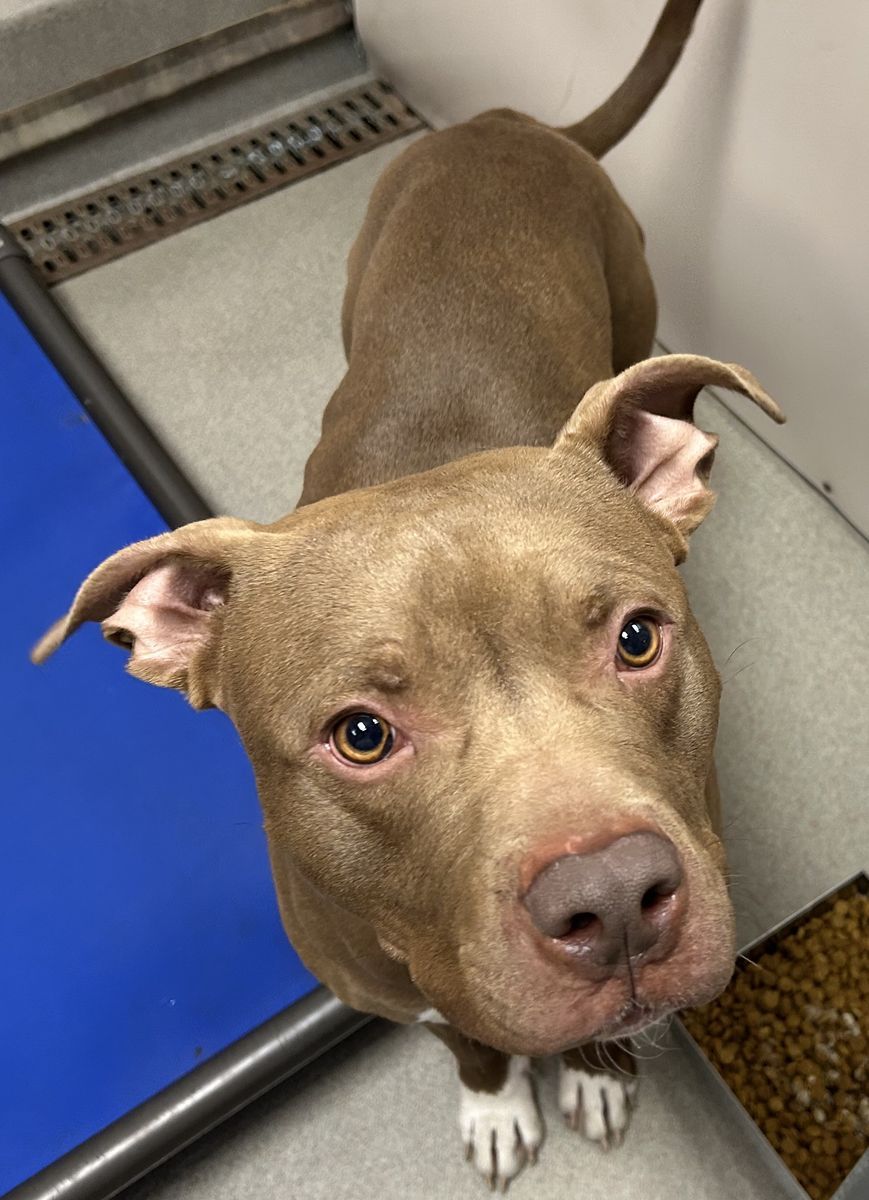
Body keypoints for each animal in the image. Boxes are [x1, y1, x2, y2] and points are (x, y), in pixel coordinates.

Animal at [34, 0, 784, 1187]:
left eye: (635, 638)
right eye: (360, 734)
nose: (613, 898)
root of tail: (507, 120)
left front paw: (596, 1073)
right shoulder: (389, 987)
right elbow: (467, 1041)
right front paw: (496, 1102)